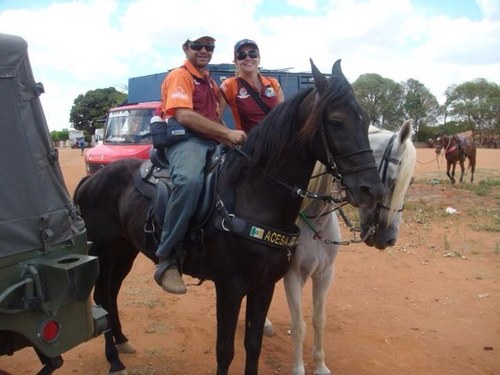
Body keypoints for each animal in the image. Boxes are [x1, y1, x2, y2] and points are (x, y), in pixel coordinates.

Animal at [72, 59, 384, 375]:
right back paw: (114, 359)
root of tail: (91, 179)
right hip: (104, 252)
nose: (371, 190)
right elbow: (225, 350)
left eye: (366, 120)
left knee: (111, 294)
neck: (254, 195)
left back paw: (122, 342)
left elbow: (253, 344)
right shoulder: (230, 288)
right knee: (102, 296)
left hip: (125, 251)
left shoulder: (265, 286)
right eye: (336, 121)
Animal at [264, 121, 416, 375]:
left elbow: (319, 320)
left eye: (409, 183)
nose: (389, 239)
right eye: (393, 182)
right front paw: (299, 368)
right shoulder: (293, 276)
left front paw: (320, 366)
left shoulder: (325, 275)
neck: (314, 218)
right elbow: (299, 326)